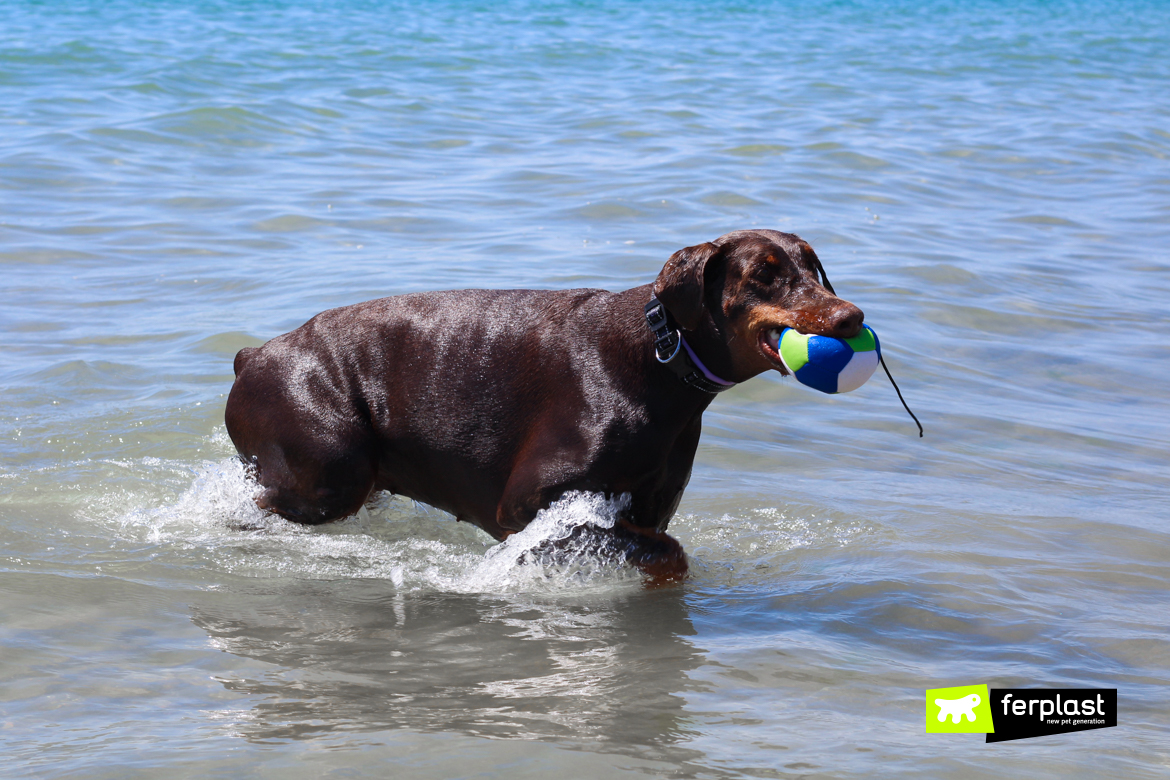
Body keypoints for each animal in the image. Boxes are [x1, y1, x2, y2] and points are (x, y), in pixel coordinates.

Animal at [225, 230, 861, 580]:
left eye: (813, 266)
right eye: (763, 275)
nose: (851, 316)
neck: (660, 357)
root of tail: (253, 354)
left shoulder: (647, 507)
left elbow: (659, 547)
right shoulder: (529, 505)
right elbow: (668, 552)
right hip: (326, 476)